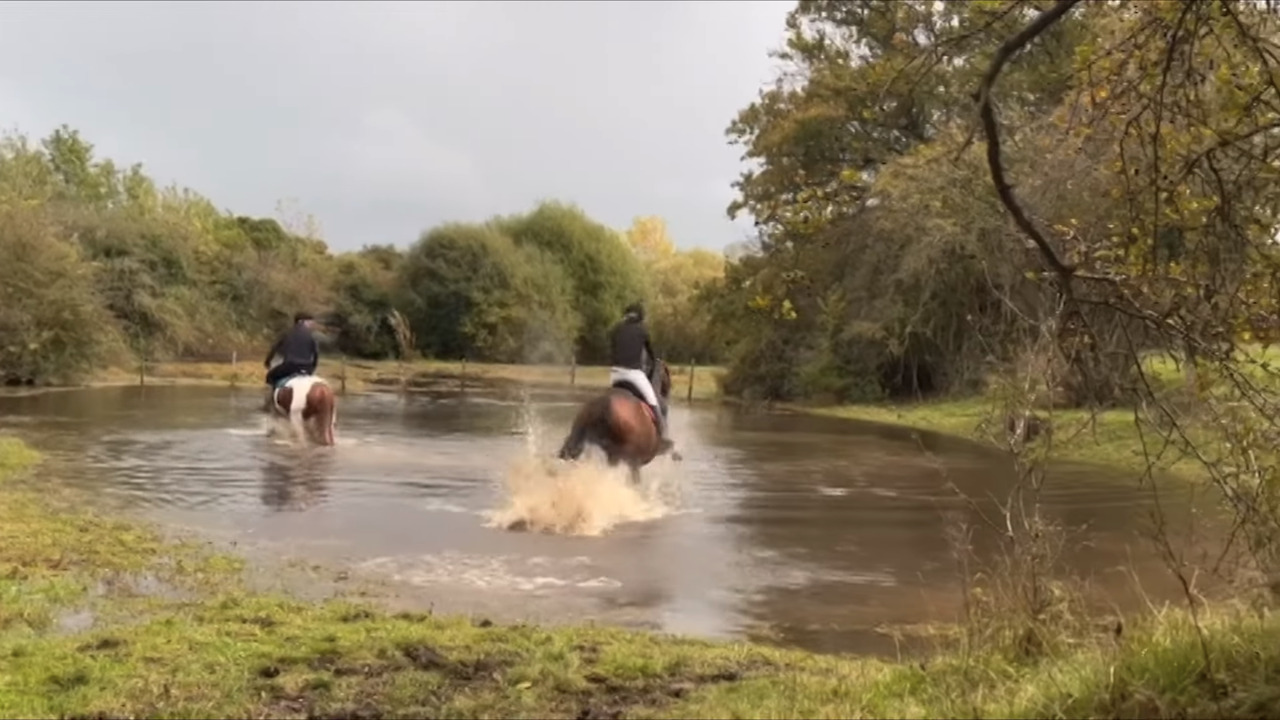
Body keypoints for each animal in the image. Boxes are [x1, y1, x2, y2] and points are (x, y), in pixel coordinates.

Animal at [558, 353, 680, 481]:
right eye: (667, 372)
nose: (669, 390)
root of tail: (604, 405)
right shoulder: (657, 447)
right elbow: (671, 445)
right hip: (629, 459)